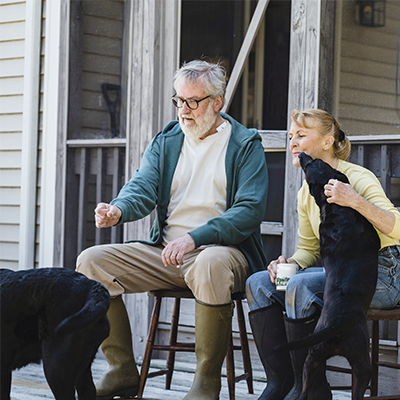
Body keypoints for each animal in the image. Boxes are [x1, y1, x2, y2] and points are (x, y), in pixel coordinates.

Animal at [282, 153, 380, 400]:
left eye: (313, 162)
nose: (302, 155)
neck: (334, 208)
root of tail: (336, 324)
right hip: (363, 364)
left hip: (312, 358)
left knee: (304, 391)